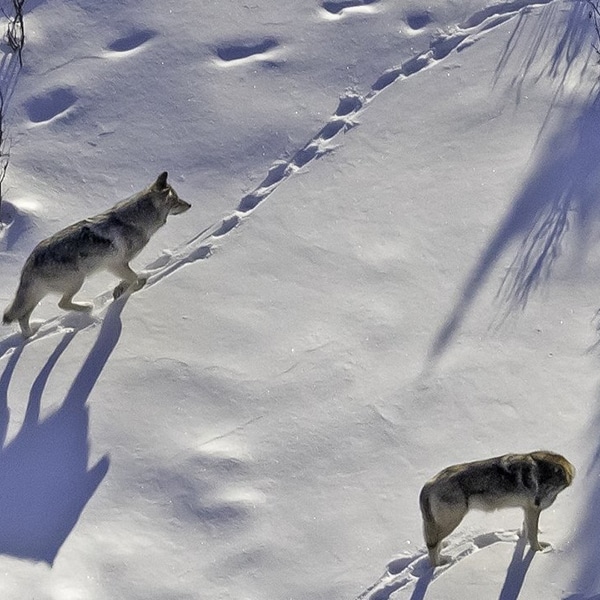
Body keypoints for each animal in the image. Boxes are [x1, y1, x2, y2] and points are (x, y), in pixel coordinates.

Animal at [2, 171, 190, 338]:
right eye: (176, 201)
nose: (190, 205)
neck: (136, 221)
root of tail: (30, 262)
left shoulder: (118, 267)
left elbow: (129, 278)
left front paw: (120, 289)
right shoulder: (115, 265)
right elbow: (134, 278)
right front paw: (133, 288)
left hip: (41, 294)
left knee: (23, 317)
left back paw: (31, 334)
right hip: (77, 281)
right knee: (61, 304)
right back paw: (87, 307)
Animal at [420, 450, 576, 568]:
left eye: (544, 484)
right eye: (535, 482)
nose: (537, 501)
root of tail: (428, 484)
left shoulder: (527, 509)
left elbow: (526, 529)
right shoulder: (533, 509)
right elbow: (533, 536)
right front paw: (539, 552)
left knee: (436, 542)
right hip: (451, 522)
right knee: (431, 545)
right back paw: (439, 565)